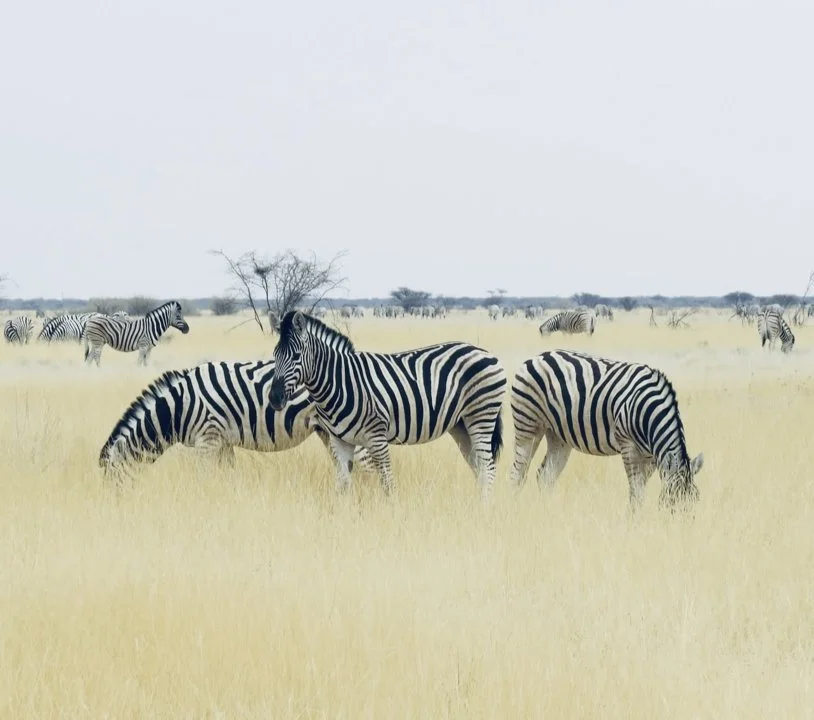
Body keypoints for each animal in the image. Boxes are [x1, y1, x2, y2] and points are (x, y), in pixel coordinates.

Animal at [99, 360, 374, 478]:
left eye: (112, 478)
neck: (179, 407)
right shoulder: (223, 441)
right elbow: (228, 474)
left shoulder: (207, 439)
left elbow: (203, 476)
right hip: (327, 432)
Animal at [267, 311, 507, 499]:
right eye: (274, 355)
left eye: (296, 356)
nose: (274, 398)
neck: (340, 381)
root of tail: (483, 351)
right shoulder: (340, 440)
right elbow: (343, 484)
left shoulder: (377, 436)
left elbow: (387, 483)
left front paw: (392, 514)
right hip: (460, 425)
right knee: (478, 466)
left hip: (481, 416)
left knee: (488, 467)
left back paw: (484, 509)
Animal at [509, 350, 703, 512]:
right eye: (672, 502)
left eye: (695, 501)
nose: (682, 529)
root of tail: (538, 356)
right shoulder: (628, 445)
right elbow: (637, 491)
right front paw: (633, 521)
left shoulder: (651, 457)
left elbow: (640, 488)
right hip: (528, 424)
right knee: (517, 474)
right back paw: (514, 509)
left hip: (557, 435)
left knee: (546, 476)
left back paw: (548, 510)